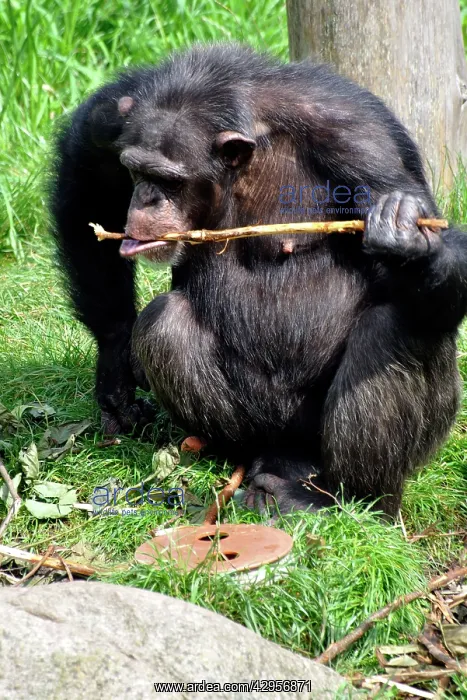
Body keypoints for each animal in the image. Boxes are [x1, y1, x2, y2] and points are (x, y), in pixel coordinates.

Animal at [51, 44, 467, 515]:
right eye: (138, 173)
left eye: (170, 181)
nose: (146, 199)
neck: (246, 156)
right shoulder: (117, 115)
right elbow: (86, 171)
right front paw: (115, 367)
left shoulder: (365, 144)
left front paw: (408, 237)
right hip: (265, 423)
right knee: (164, 323)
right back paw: (249, 458)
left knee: (397, 324)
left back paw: (341, 497)